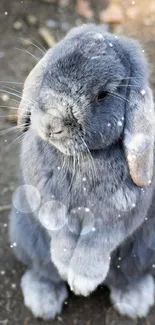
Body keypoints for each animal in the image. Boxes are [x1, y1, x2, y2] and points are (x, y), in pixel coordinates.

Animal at [8, 24, 155, 318]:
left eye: (103, 95)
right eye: (48, 70)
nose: (51, 124)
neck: (80, 160)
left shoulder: (116, 217)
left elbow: (95, 244)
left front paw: (83, 282)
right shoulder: (47, 203)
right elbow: (61, 234)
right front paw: (67, 268)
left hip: (144, 251)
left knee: (128, 277)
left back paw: (135, 302)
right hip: (26, 236)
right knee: (44, 271)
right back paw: (43, 302)